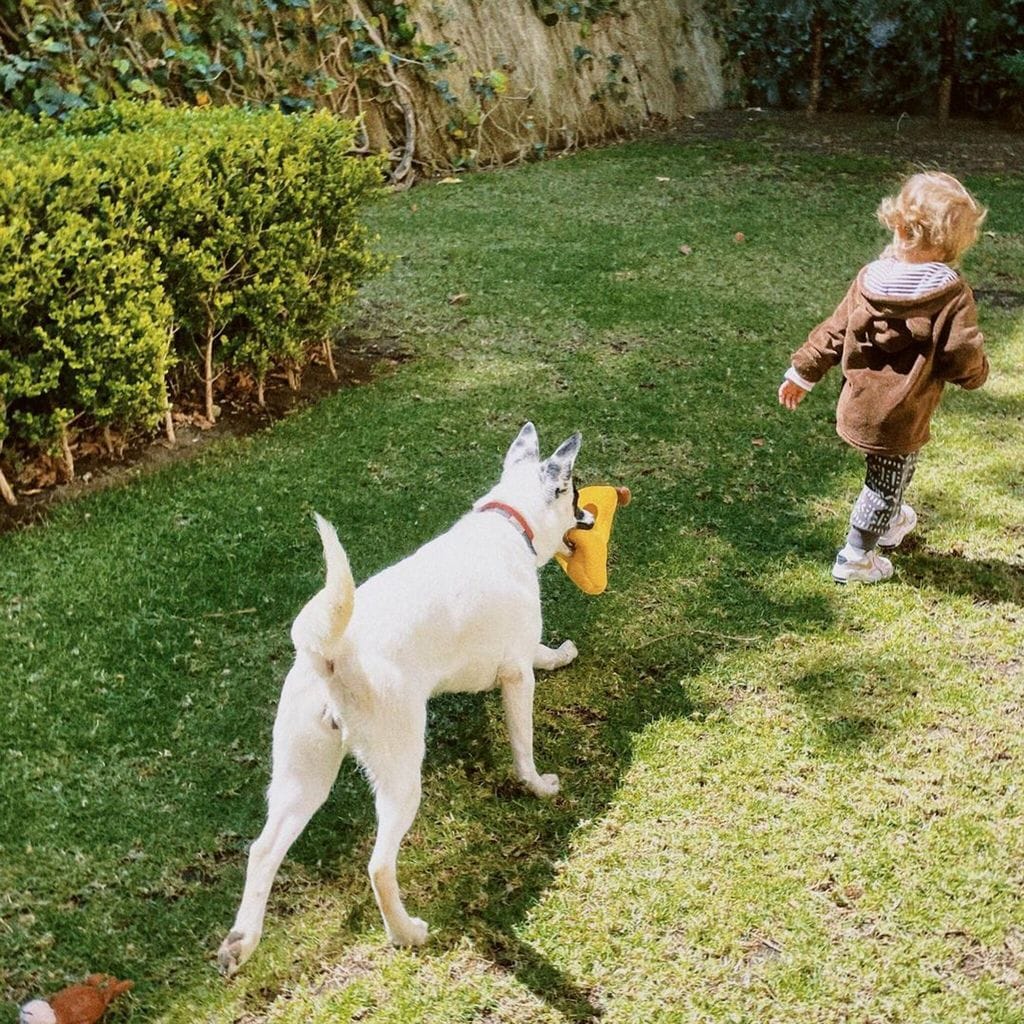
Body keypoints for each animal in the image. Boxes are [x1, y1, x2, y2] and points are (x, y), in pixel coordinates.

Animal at [220, 423, 598, 974]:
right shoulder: (516, 675)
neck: (508, 521)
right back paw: (407, 933)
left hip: (302, 777)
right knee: (379, 865)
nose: (591, 514)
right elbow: (525, 736)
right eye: (573, 495)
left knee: (263, 849)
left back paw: (241, 941)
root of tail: (331, 654)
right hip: (399, 772)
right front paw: (539, 784)